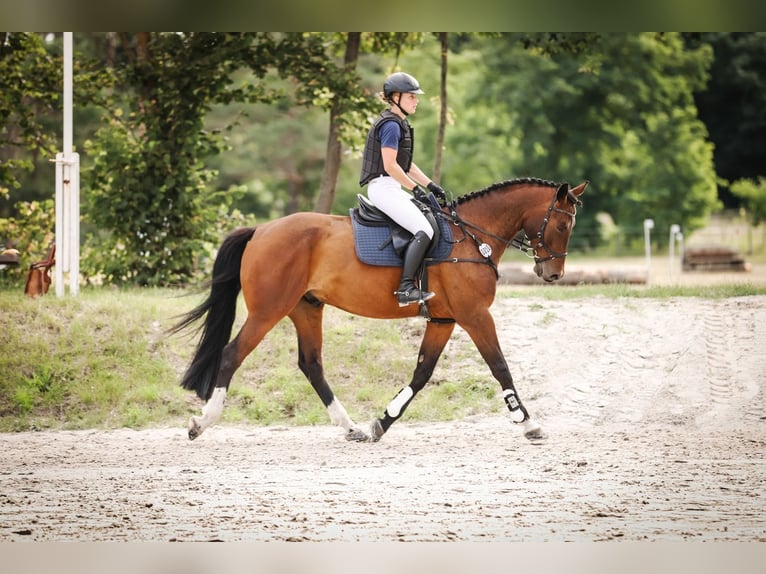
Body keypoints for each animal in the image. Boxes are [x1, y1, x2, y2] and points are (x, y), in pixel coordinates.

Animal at [172, 177, 588, 443]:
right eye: (562, 225)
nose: (552, 274)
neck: (472, 237)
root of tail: (261, 230)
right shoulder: (475, 316)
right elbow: (499, 366)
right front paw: (528, 423)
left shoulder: (444, 319)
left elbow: (421, 374)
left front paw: (381, 423)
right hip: (268, 310)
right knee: (232, 354)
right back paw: (202, 422)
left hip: (306, 309)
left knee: (311, 365)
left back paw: (350, 427)